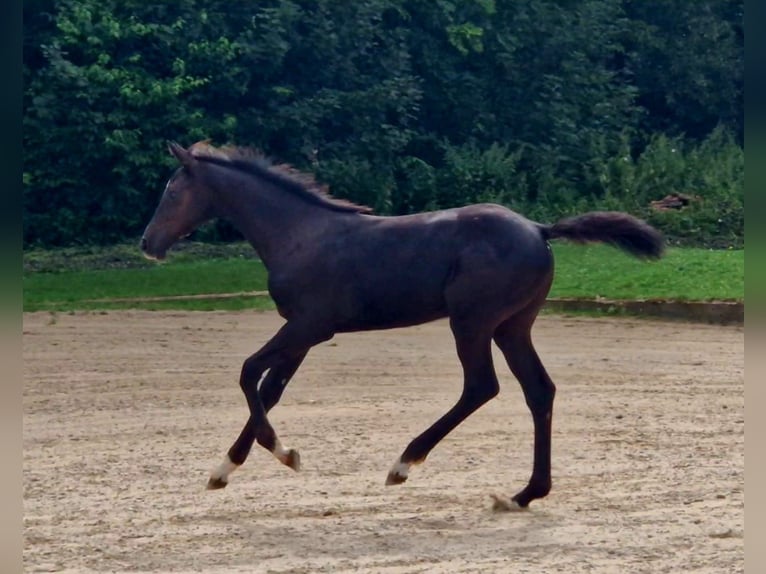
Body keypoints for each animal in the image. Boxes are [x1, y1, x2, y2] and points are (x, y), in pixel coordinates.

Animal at [140, 142, 664, 510]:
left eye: (173, 191)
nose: (147, 243)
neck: (300, 234)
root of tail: (539, 229)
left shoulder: (309, 326)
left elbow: (249, 373)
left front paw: (284, 453)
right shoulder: (304, 334)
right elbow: (270, 390)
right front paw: (225, 469)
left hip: (472, 321)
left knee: (482, 386)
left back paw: (405, 463)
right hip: (513, 325)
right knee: (539, 390)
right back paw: (522, 494)